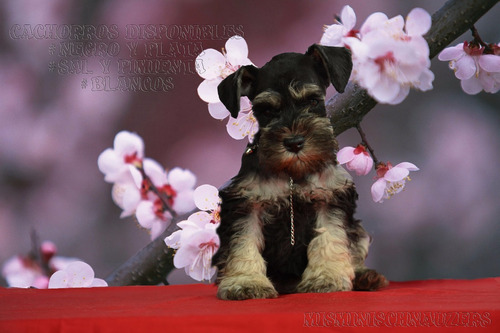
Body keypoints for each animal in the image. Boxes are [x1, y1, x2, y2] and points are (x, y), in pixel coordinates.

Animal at [211, 42, 386, 300]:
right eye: (266, 111)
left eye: (313, 101)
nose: (294, 143)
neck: (292, 174)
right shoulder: (246, 203)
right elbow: (243, 241)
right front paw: (246, 282)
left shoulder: (329, 197)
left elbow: (330, 237)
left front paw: (326, 277)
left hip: (359, 230)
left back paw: (366, 277)